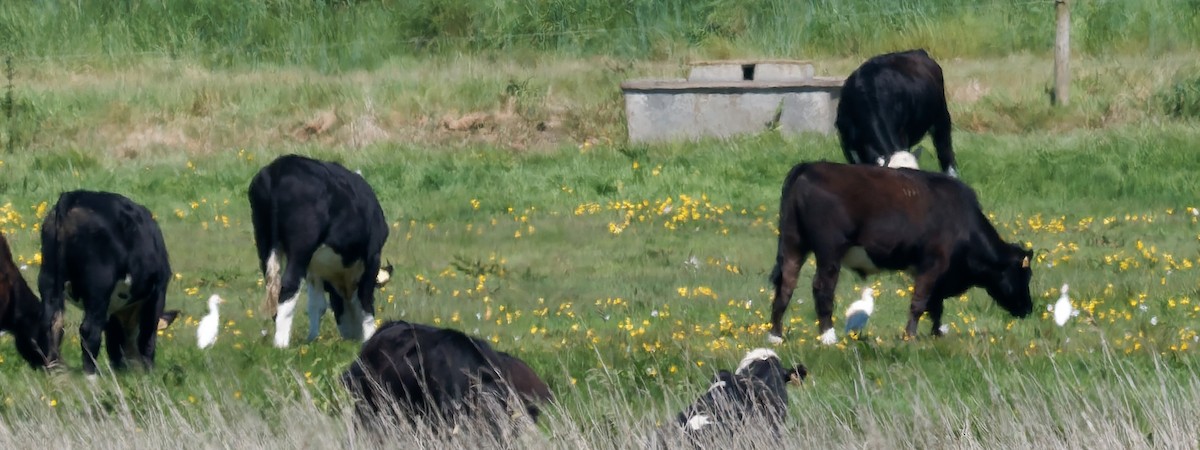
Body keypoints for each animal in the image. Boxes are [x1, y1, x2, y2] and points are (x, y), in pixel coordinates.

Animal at [38, 191, 172, 377]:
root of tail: (73, 197)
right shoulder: (158, 292)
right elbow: (147, 335)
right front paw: (149, 372)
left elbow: (113, 340)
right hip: (99, 286)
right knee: (89, 330)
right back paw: (91, 375)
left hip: (49, 277)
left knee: (52, 322)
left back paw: (55, 371)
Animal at [248, 154, 391, 348]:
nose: (352, 338)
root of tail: (280, 166)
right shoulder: (373, 256)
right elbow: (365, 298)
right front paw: (369, 336)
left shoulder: (314, 269)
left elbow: (317, 304)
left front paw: (312, 339)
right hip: (301, 248)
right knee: (288, 286)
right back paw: (281, 345)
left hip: (265, 242)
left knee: (273, 287)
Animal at [767, 162, 1034, 344]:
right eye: (1023, 275)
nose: (1028, 309)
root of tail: (809, 167)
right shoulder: (933, 263)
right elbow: (920, 302)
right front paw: (910, 336)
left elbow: (935, 304)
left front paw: (937, 333)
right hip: (829, 251)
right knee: (822, 288)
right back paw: (828, 336)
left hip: (793, 244)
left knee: (786, 285)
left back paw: (775, 336)